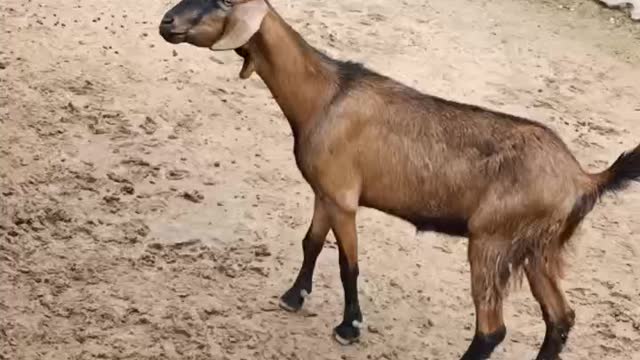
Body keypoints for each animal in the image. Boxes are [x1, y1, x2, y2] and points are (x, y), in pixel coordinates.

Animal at [156, 1, 640, 358]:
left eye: (223, 0)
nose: (166, 21)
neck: (325, 96)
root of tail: (583, 178)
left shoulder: (343, 198)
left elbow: (348, 263)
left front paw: (349, 326)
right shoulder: (325, 192)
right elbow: (310, 242)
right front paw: (294, 296)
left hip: (492, 241)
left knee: (492, 330)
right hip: (538, 249)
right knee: (560, 318)